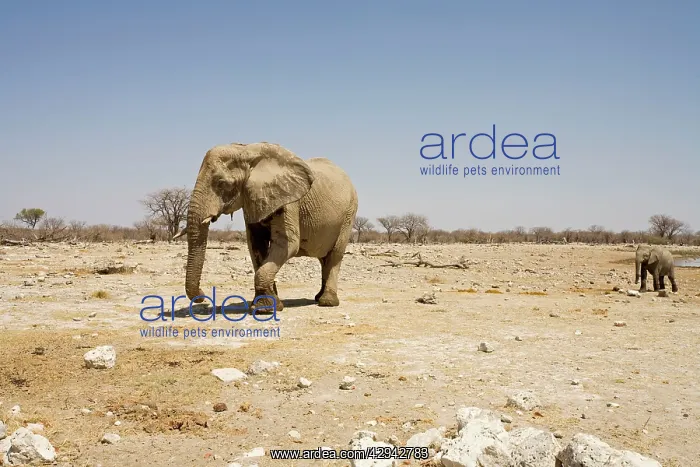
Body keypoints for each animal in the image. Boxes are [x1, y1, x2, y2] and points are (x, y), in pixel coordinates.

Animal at [175, 142, 358, 312]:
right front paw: (268, 305)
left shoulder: (289, 201)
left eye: (222, 183)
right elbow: (256, 245)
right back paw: (318, 297)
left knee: (335, 254)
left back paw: (327, 302)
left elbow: (287, 244)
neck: (247, 152)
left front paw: (264, 309)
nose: (202, 296)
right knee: (323, 258)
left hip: (349, 213)